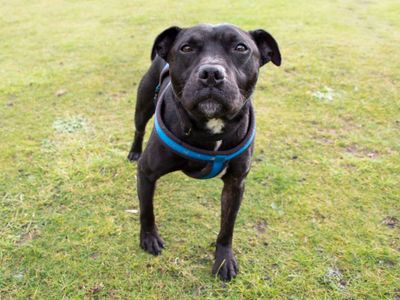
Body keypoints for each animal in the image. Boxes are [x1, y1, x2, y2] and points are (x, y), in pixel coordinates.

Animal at [128, 24, 282, 282]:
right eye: (186, 48)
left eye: (241, 47)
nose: (211, 73)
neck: (210, 128)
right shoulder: (147, 173)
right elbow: (147, 210)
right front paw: (149, 238)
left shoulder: (235, 184)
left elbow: (227, 227)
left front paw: (224, 259)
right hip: (143, 107)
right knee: (138, 129)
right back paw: (133, 152)